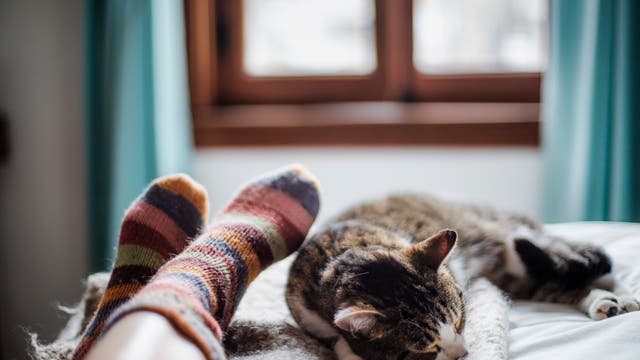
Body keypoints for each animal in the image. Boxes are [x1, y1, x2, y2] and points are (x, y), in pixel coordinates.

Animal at [286, 195, 640, 358]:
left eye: (460, 322)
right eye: (427, 349)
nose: (463, 354)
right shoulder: (307, 314)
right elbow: (336, 339)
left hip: (514, 239)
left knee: (589, 263)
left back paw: (621, 296)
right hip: (514, 274)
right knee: (557, 282)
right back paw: (602, 302)